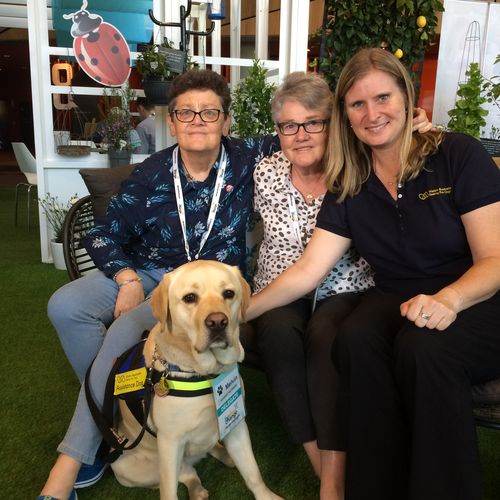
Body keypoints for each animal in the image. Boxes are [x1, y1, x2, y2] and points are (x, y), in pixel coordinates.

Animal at [110, 262, 282, 500]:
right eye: (190, 297)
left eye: (229, 293)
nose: (218, 322)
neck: (204, 374)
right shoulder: (170, 442)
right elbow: (168, 491)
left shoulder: (236, 424)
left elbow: (252, 471)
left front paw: (266, 495)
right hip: (125, 469)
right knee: (186, 472)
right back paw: (197, 488)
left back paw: (224, 455)